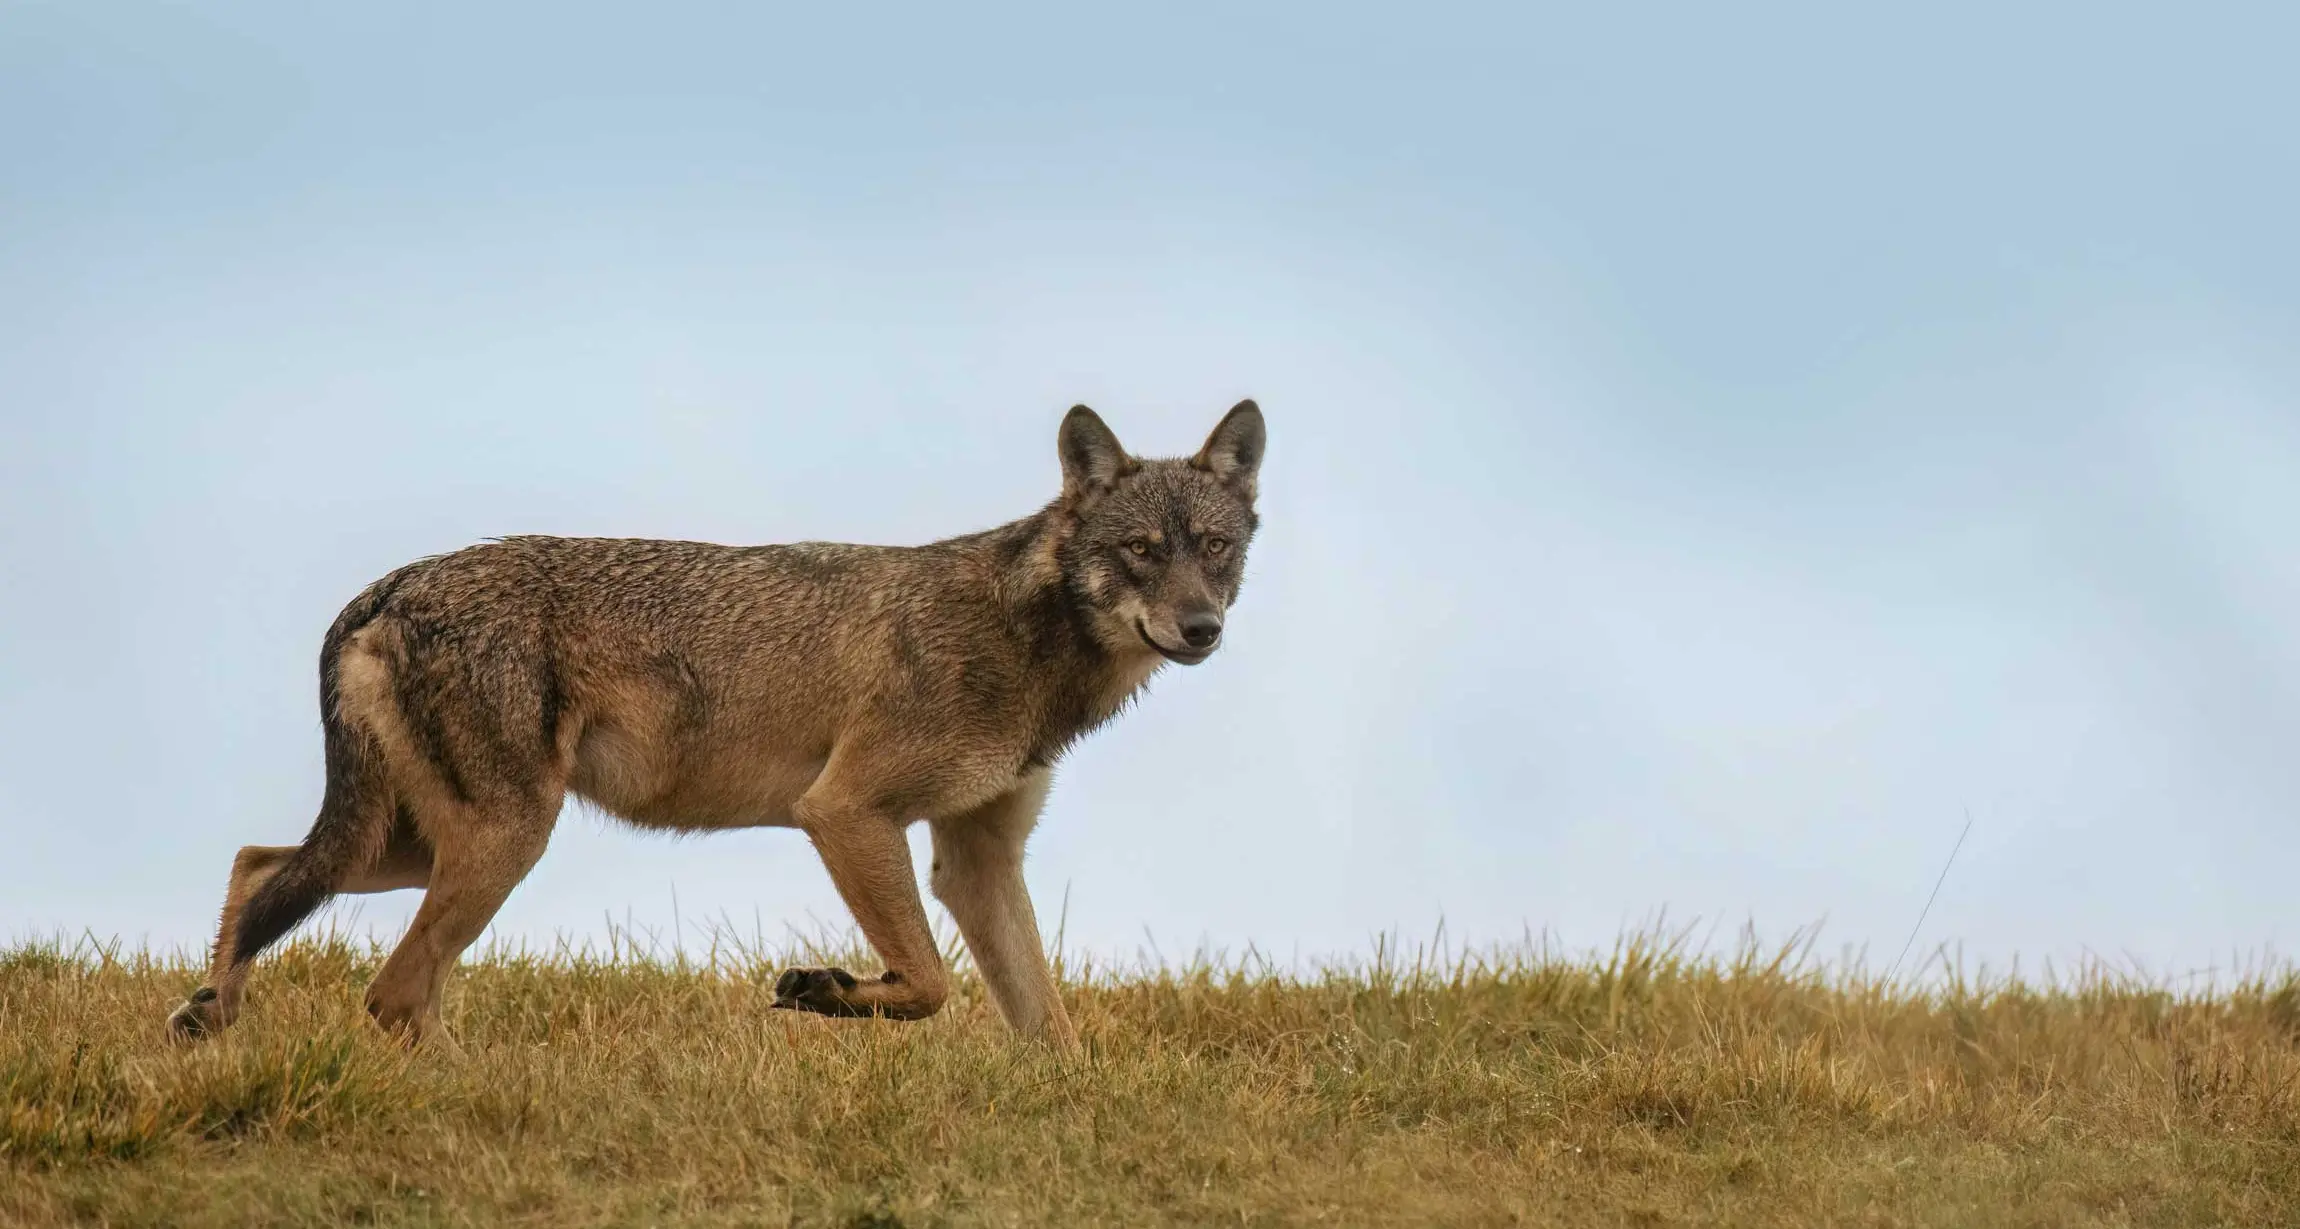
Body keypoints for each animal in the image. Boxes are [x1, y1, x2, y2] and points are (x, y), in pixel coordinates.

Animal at [164, 402, 1265, 1051]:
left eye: (1214, 547)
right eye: (1139, 549)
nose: (1202, 628)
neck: (1021, 634)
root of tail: (389, 583)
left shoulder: (977, 859)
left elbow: (1045, 1023)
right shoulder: (844, 812)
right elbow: (929, 984)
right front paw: (822, 988)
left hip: (413, 845)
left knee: (257, 868)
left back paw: (208, 1022)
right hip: (497, 842)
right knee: (390, 989)